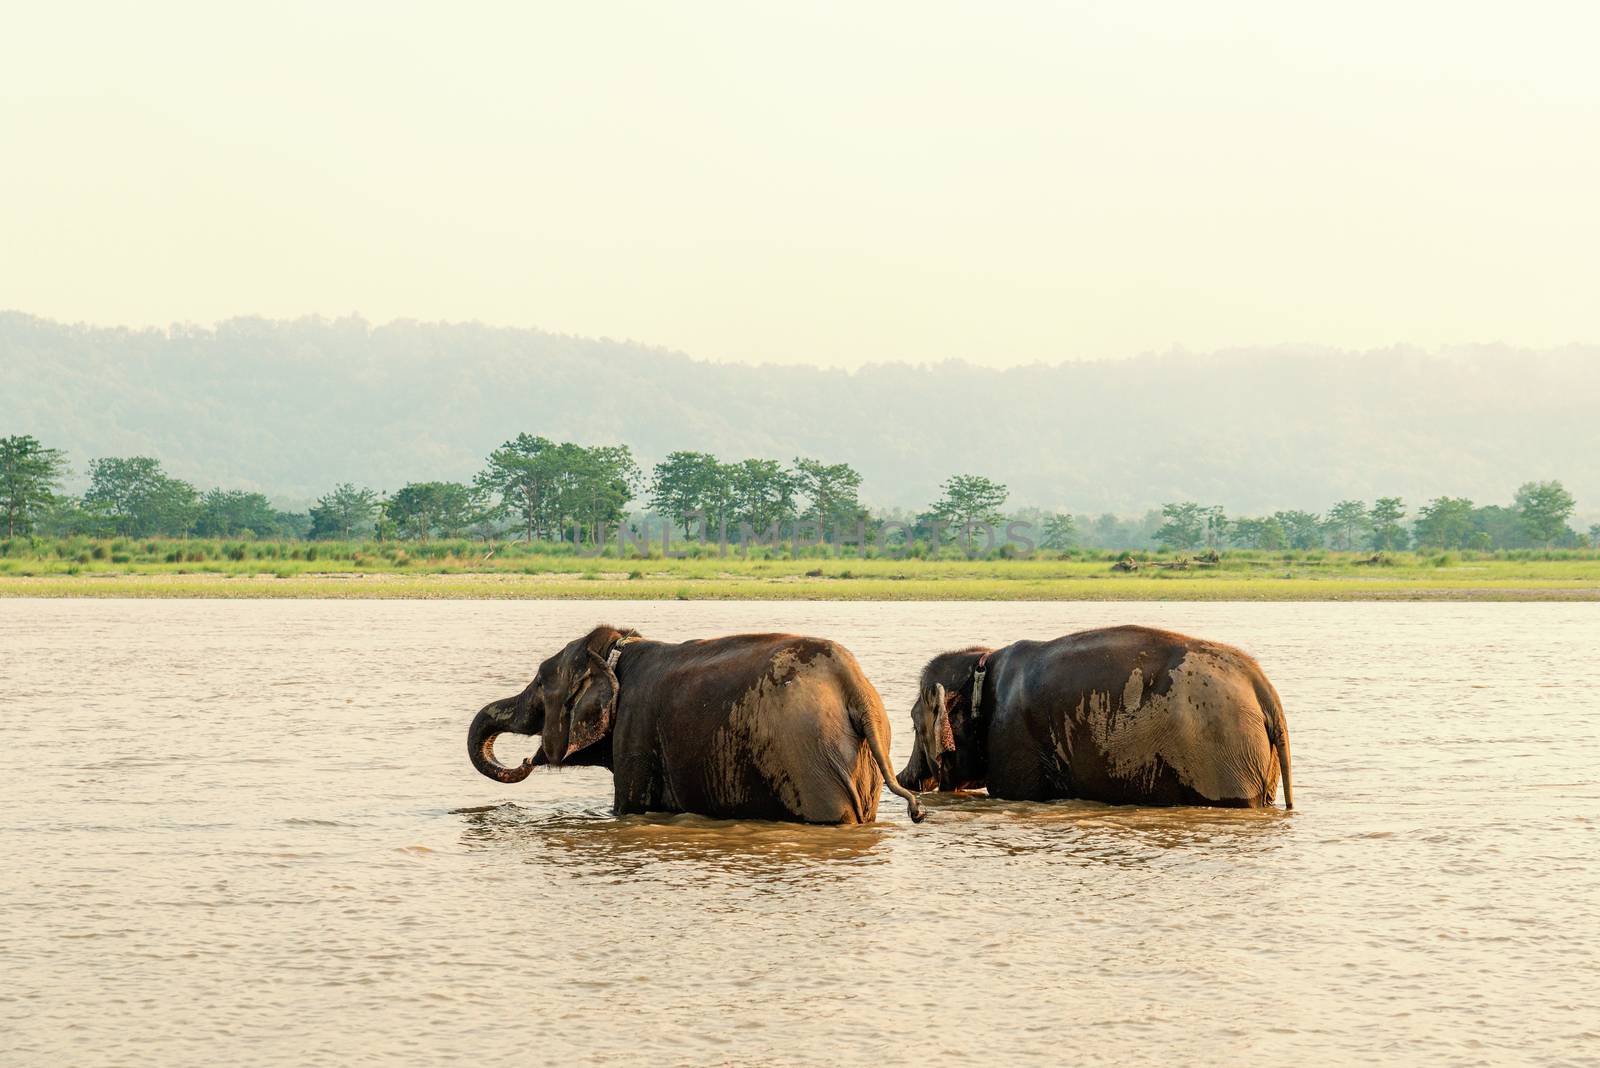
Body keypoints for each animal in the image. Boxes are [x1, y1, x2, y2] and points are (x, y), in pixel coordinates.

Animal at [467, 626, 928, 824]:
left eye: (540, 682)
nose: (526, 760)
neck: (616, 649)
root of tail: (853, 685)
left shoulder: (635, 730)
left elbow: (630, 806)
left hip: (810, 759)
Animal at [896, 620, 1292, 805]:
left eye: (915, 725)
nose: (904, 778)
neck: (982, 662)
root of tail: (1263, 687)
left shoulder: (1013, 740)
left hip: (1222, 758)